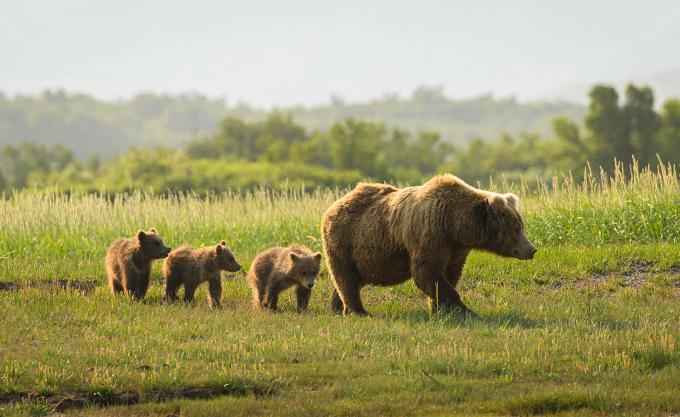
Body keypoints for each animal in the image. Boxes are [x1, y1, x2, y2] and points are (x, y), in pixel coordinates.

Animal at [322, 173, 540, 316]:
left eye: (520, 224)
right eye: (515, 227)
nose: (532, 249)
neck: (455, 225)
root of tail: (333, 206)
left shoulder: (455, 249)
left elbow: (449, 274)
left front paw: (439, 308)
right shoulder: (430, 236)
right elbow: (427, 272)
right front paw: (465, 310)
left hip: (363, 256)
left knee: (349, 279)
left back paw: (337, 306)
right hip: (344, 242)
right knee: (346, 277)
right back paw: (358, 311)